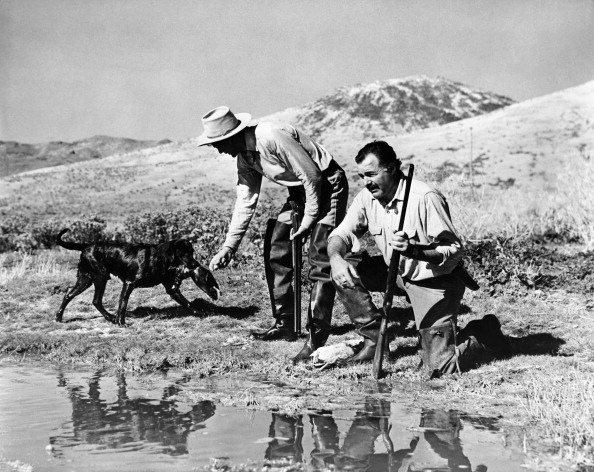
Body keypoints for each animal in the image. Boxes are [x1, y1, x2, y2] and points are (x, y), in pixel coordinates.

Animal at [53, 230, 219, 326]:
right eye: (183, 253)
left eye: (191, 252)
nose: (195, 264)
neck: (161, 258)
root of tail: (86, 245)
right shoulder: (128, 283)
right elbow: (122, 305)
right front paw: (121, 323)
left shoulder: (171, 289)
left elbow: (188, 303)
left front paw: (201, 313)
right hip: (99, 278)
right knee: (94, 300)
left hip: (86, 280)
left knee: (70, 295)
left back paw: (59, 317)